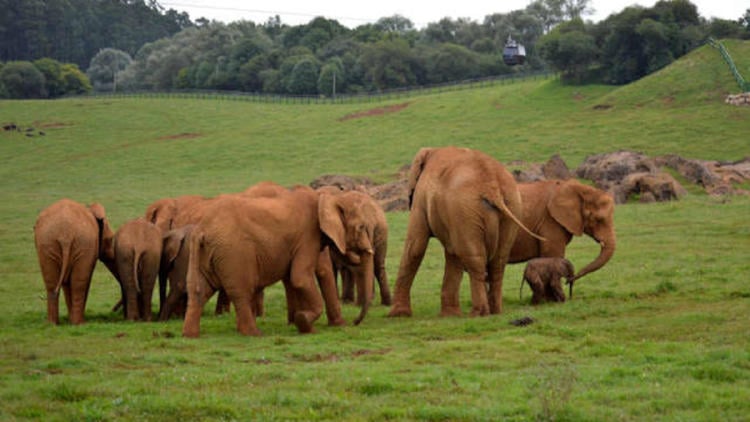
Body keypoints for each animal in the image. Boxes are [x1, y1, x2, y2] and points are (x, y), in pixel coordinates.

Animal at [182, 184, 373, 337]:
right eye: (361, 227)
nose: (355, 322)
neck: (326, 198)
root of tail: (202, 230)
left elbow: (294, 278)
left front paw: (302, 324)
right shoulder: (307, 236)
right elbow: (300, 277)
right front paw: (305, 324)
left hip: (204, 253)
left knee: (198, 291)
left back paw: (190, 335)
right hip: (233, 253)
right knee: (241, 291)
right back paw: (254, 333)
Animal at [388, 146, 544, 318]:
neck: (432, 150)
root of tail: (492, 187)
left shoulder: (422, 199)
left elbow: (416, 246)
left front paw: (397, 315)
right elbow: (451, 253)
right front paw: (450, 316)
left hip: (466, 210)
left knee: (473, 258)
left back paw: (478, 313)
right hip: (510, 206)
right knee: (498, 261)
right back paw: (495, 312)